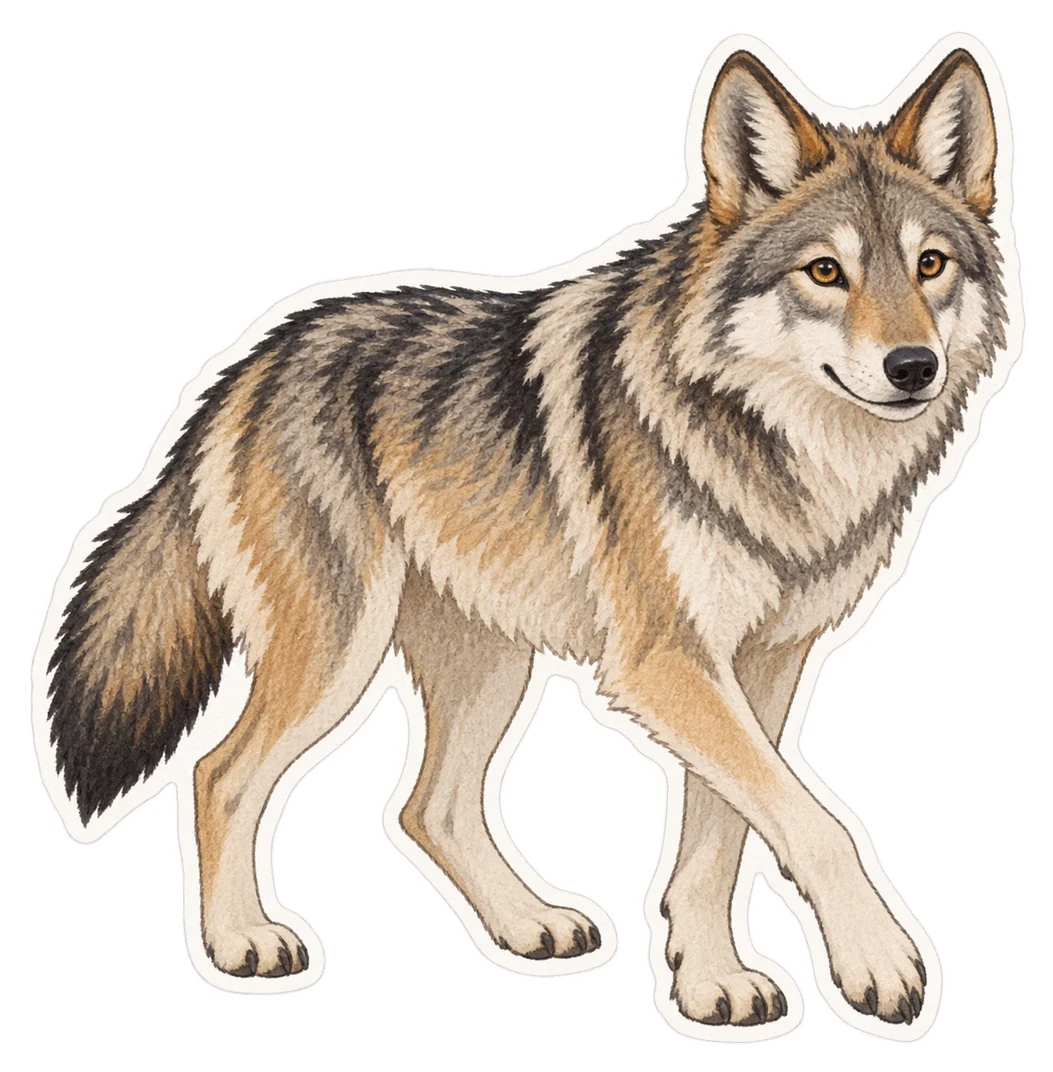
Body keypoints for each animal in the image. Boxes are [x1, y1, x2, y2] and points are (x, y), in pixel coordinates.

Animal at [40, 46, 1005, 1028]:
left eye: (928, 265)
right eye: (824, 272)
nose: (912, 366)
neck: (783, 448)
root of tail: (250, 364)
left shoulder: (757, 666)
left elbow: (723, 835)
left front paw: (708, 983)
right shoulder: (667, 662)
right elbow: (816, 824)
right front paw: (877, 963)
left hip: (489, 661)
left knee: (428, 807)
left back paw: (527, 926)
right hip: (339, 652)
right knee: (220, 773)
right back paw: (241, 944)